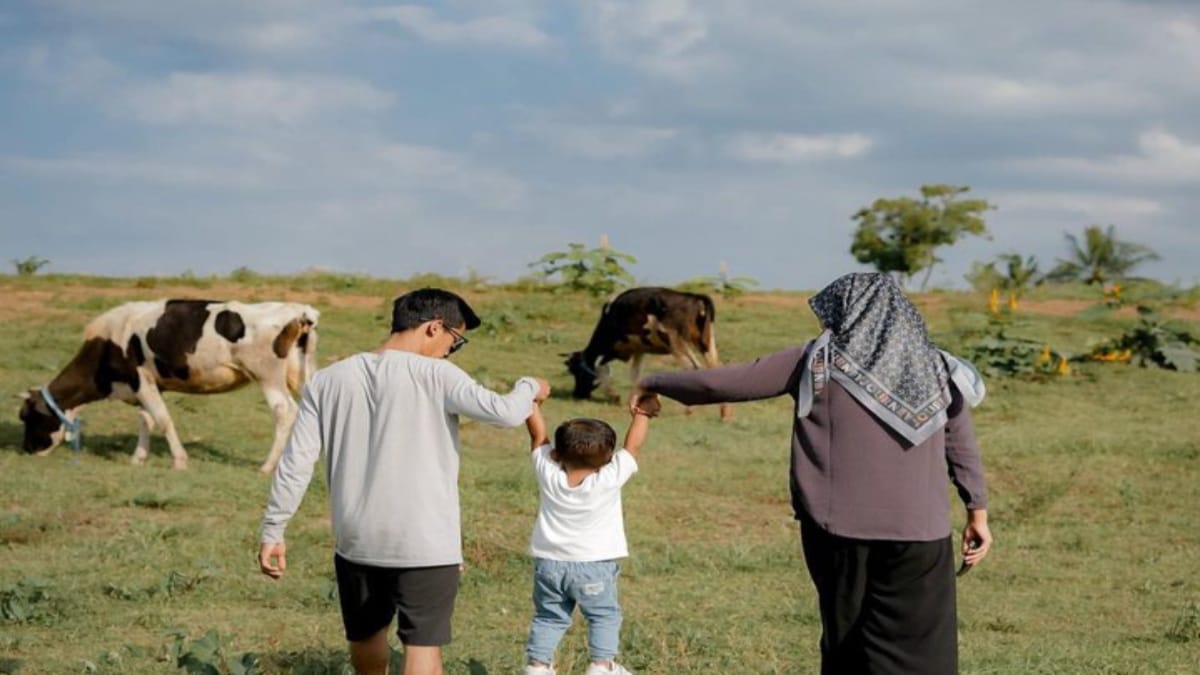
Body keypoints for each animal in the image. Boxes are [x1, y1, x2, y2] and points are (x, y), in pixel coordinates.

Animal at [20, 299, 319, 473]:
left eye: (28, 417)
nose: (26, 451)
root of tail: (298, 309)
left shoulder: (140, 378)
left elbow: (163, 420)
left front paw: (179, 461)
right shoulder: (146, 384)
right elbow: (146, 420)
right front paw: (138, 458)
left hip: (267, 375)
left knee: (284, 412)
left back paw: (267, 466)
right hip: (300, 373)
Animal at [564, 282, 729, 415]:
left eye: (575, 372)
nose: (577, 395)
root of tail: (695, 297)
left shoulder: (617, 346)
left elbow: (600, 367)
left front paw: (613, 396)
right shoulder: (638, 349)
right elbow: (635, 374)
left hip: (676, 342)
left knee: (692, 367)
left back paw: (689, 410)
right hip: (705, 342)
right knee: (716, 367)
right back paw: (725, 413)